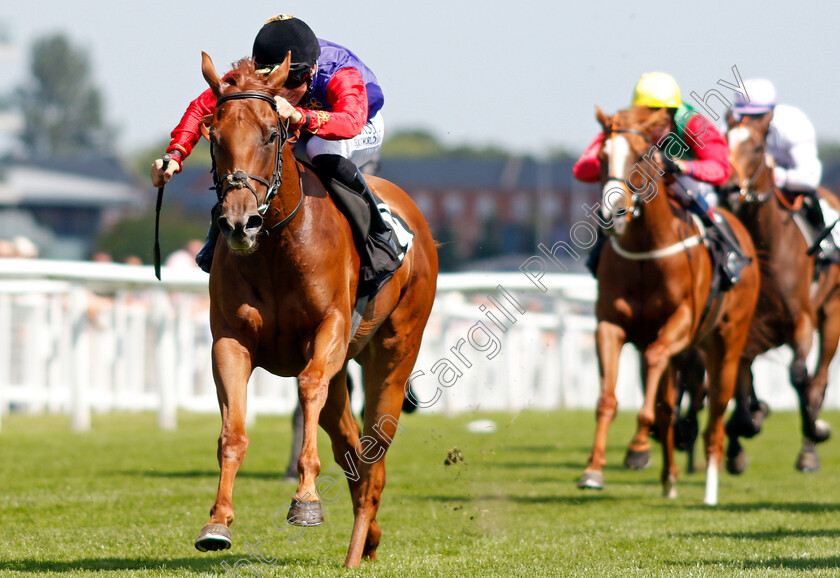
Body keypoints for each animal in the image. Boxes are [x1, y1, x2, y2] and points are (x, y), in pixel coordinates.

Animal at [193, 51, 436, 564]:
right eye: (214, 135)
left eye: (271, 133)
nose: (239, 223)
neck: (275, 247)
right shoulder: (230, 340)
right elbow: (233, 431)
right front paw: (217, 521)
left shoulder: (329, 330)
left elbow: (307, 387)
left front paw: (304, 500)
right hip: (345, 370)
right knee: (350, 446)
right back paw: (370, 536)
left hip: (395, 351)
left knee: (374, 447)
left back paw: (356, 548)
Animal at [576, 106, 760, 502]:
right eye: (600, 158)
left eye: (639, 156)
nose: (611, 214)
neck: (647, 251)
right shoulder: (610, 325)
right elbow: (609, 399)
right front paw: (593, 469)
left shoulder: (682, 322)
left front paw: (637, 446)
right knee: (668, 404)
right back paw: (669, 476)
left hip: (726, 343)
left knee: (716, 414)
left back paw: (709, 490)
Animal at [720, 113, 840, 472]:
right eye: (724, 141)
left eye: (758, 147)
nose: (729, 188)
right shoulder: (746, 327)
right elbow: (739, 389)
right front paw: (744, 432)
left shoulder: (802, 320)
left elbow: (801, 376)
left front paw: (817, 430)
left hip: (832, 315)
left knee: (819, 380)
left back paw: (810, 449)